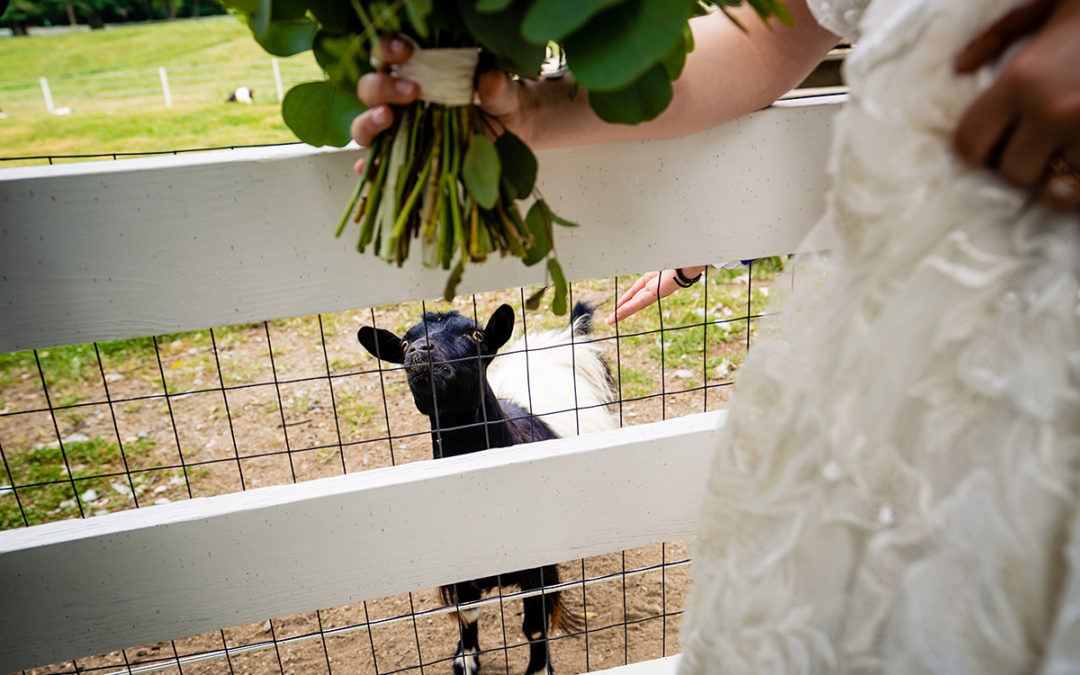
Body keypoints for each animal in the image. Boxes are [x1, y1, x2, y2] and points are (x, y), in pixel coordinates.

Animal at [358, 302, 617, 669]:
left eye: (476, 335)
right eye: (405, 343)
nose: (422, 351)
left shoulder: (536, 567)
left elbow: (534, 626)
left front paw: (539, 669)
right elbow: (468, 614)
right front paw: (465, 659)